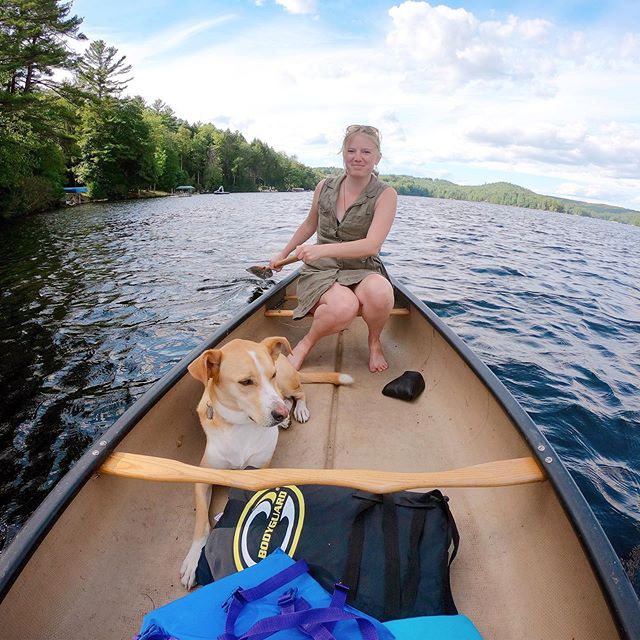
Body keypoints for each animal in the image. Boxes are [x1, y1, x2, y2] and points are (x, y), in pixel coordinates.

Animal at [178, 336, 352, 592]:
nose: (279, 414)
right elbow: (201, 522)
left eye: (271, 374)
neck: (242, 425)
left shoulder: (260, 473)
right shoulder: (203, 476)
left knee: (299, 393)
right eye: (246, 382)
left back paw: (297, 411)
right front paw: (192, 560)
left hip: (288, 382)